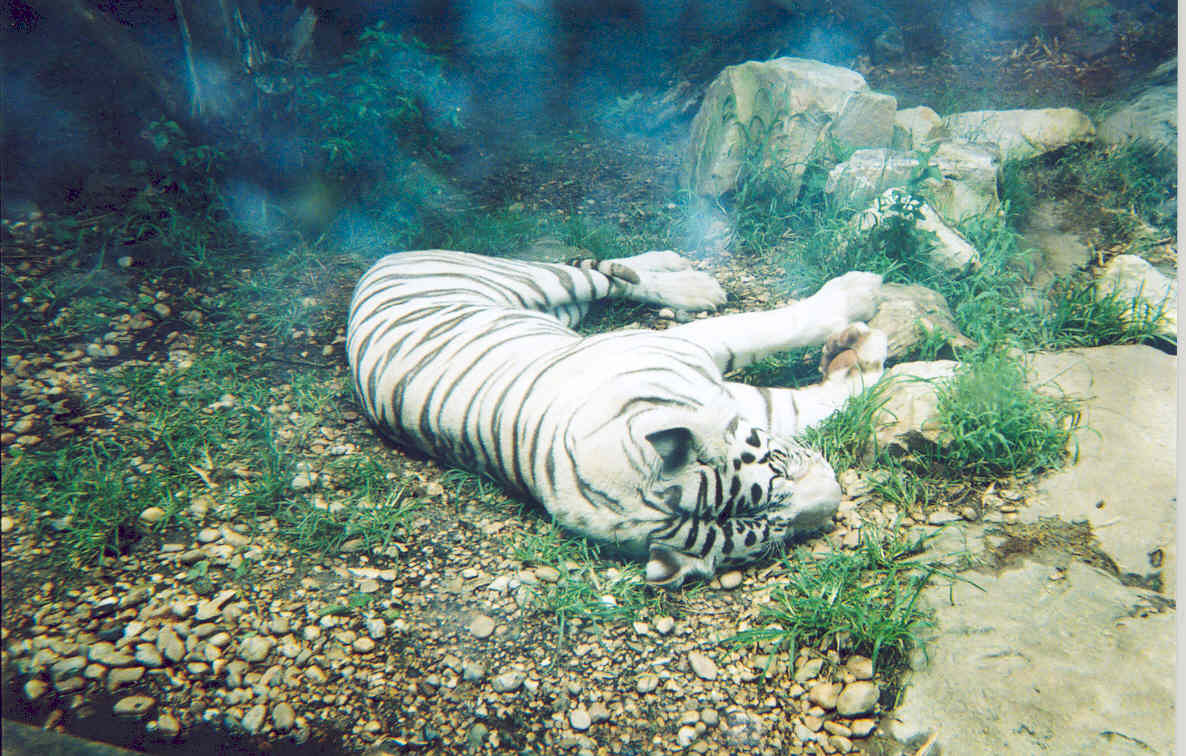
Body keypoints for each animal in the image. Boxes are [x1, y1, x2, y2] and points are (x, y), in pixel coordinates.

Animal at [346, 249, 886, 587]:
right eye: (775, 532)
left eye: (776, 464)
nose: (835, 501)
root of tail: (381, 262)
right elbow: (795, 398)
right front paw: (863, 345)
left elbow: (757, 331)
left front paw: (856, 302)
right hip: (556, 300)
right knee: (606, 278)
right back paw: (691, 282)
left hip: (543, 286)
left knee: (601, 272)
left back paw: (688, 277)